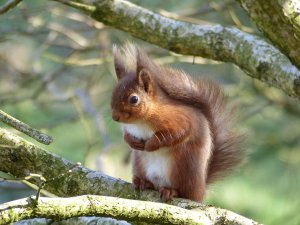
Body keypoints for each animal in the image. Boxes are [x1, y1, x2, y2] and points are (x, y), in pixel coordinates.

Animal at [110, 44, 244, 202]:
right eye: (113, 92)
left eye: (134, 99)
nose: (115, 117)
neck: (141, 122)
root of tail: (200, 191)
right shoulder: (129, 128)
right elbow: (126, 135)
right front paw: (132, 142)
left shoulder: (180, 119)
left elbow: (175, 134)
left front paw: (150, 145)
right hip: (140, 164)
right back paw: (143, 182)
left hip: (183, 168)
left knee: (183, 191)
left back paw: (171, 191)